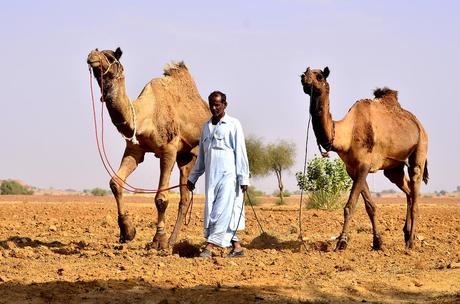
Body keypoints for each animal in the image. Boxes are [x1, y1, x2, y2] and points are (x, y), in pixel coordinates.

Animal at [87, 46, 209, 248]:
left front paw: (158, 240)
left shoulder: (169, 149)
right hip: (184, 157)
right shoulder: (135, 149)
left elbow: (161, 198)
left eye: (110, 57)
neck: (145, 115)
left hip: (195, 155)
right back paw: (172, 241)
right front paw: (127, 231)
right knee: (185, 197)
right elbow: (115, 183)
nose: (91, 57)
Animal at [302, 67, 428, 251]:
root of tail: (418, 123)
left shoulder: (364, 165)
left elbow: (350, 205)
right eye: (304, 72)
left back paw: (411, 242)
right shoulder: (353, 169)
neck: (346, 134)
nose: (304, 78)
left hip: (420, 149)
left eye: (319, 76)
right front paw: (377, 242)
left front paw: (341, 242)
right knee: (408, 190)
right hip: (393, 168)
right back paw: (406, 235)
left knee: (415, 183)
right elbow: (370, 206)